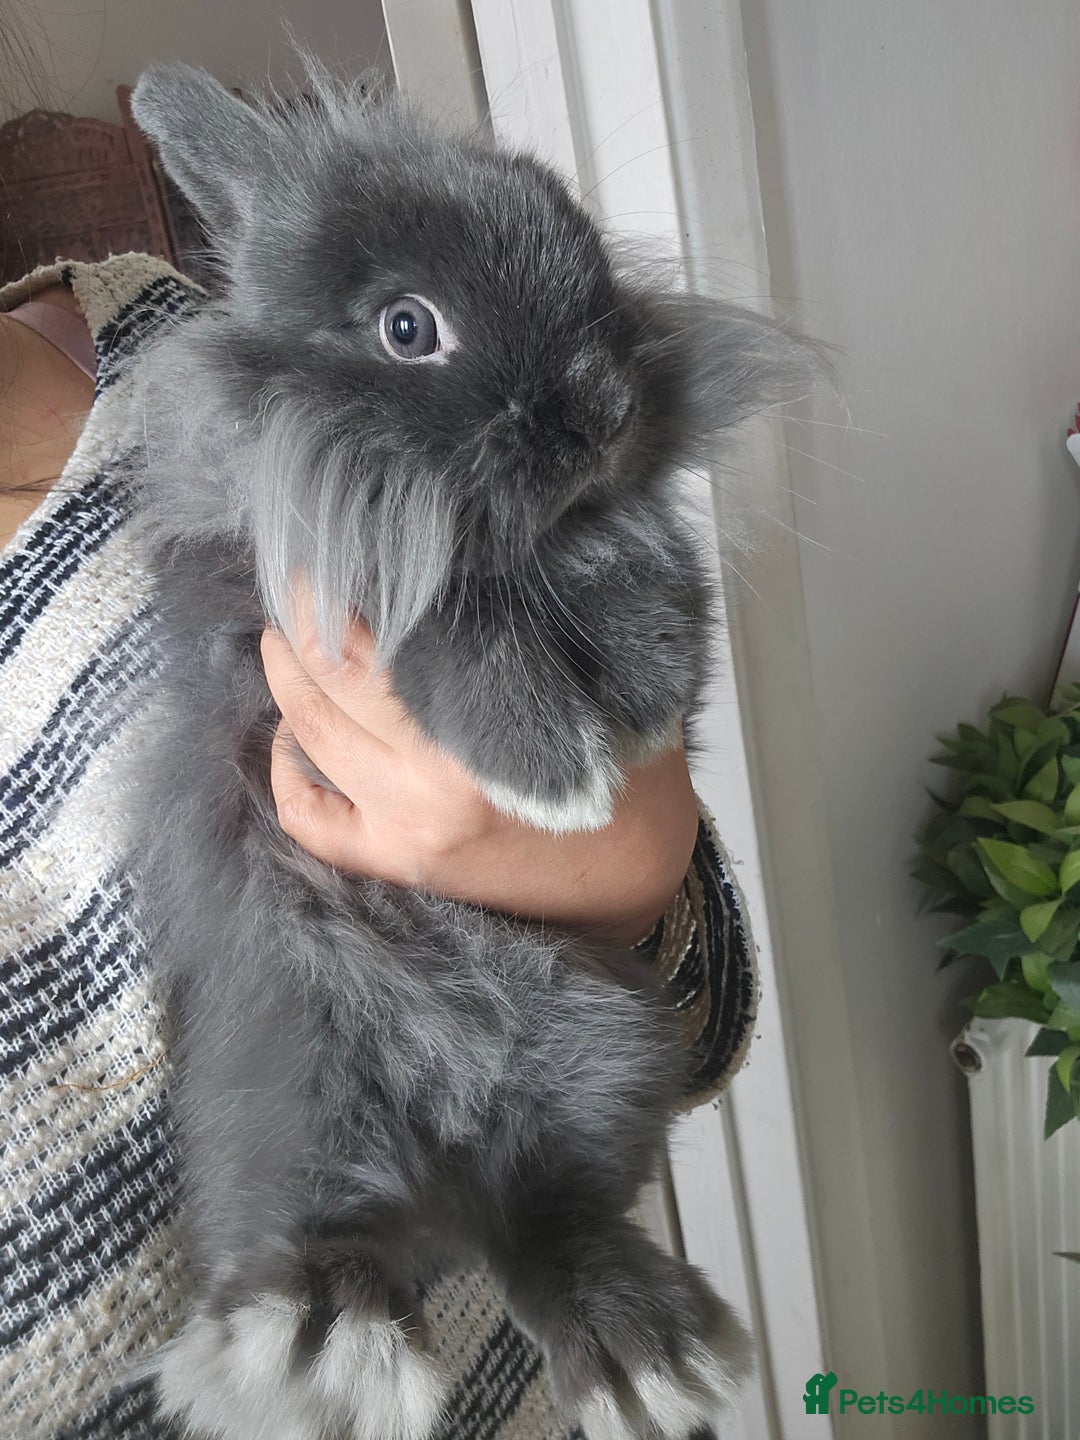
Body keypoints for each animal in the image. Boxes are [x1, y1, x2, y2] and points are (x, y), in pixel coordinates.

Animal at [122, 58, 816, 1440]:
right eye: (408, 328)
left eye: (595, 267)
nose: (606, 410)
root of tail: (451, 1155)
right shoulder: (302, 587)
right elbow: (451, 620)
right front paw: (557, 773)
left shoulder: (612, 535)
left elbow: (649, 575)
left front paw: (645, 702)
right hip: (293, 1064)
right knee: (316, 1220)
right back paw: (313, 1342)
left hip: (605, 1056)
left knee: (547, 1222)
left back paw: (646, 1357)